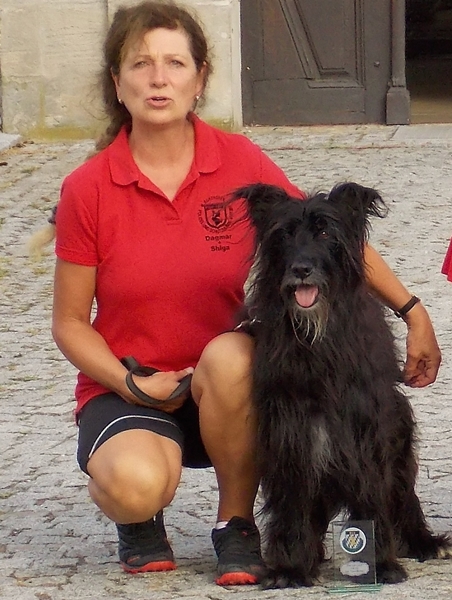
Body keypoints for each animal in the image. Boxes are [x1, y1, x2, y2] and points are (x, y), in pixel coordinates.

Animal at [231, 182, 451, 588]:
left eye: (324, 233)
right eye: (284, 234)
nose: (301, 269)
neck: (315, 334)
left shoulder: (366, 433)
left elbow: (373, 496)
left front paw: (381, 563)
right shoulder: (291, 431)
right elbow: (291, 503)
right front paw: (290, 567)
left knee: (403, 497)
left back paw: (424, 541)